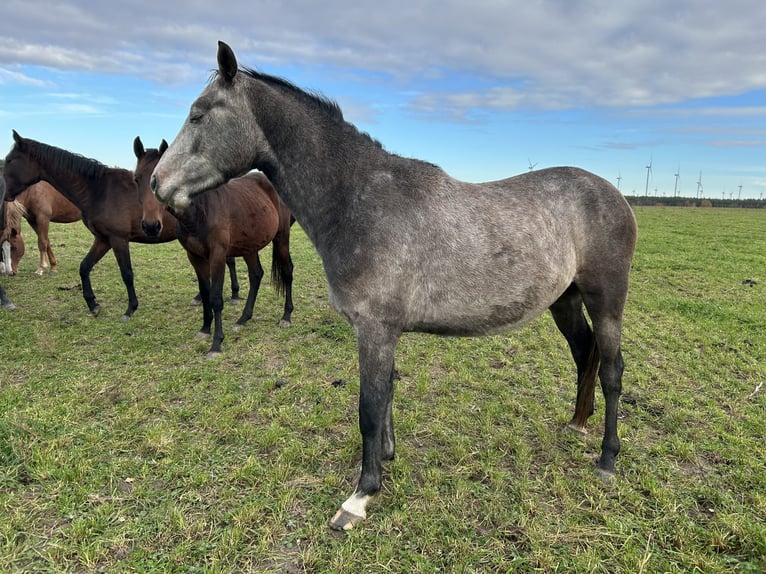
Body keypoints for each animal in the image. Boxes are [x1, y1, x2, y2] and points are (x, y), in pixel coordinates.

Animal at [133, 137, 294, 357]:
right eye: (136, 179)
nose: (151, 226)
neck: (200, 211)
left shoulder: (217, 255)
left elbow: (216, 297)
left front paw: (216, 343)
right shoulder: (194, 256)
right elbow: (205, 292)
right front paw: (205, 329)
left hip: (281, 239)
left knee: (287, 272)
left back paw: (286, 317)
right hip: (250, 246)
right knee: (256, 275)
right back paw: (243, 318)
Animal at [151, 42, 638, 530]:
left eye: (198, 114)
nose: (156, 183)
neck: (359, 201)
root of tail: (614, 194)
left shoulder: (375, 329)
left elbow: (369, 407)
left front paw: (361, 495)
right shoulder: (383, 332)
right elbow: (385, 395)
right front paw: (386, 457)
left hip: (606, 300)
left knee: (612, 370)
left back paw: (607, 460)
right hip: (565, 301)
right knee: (584, 353)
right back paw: (577, 423)